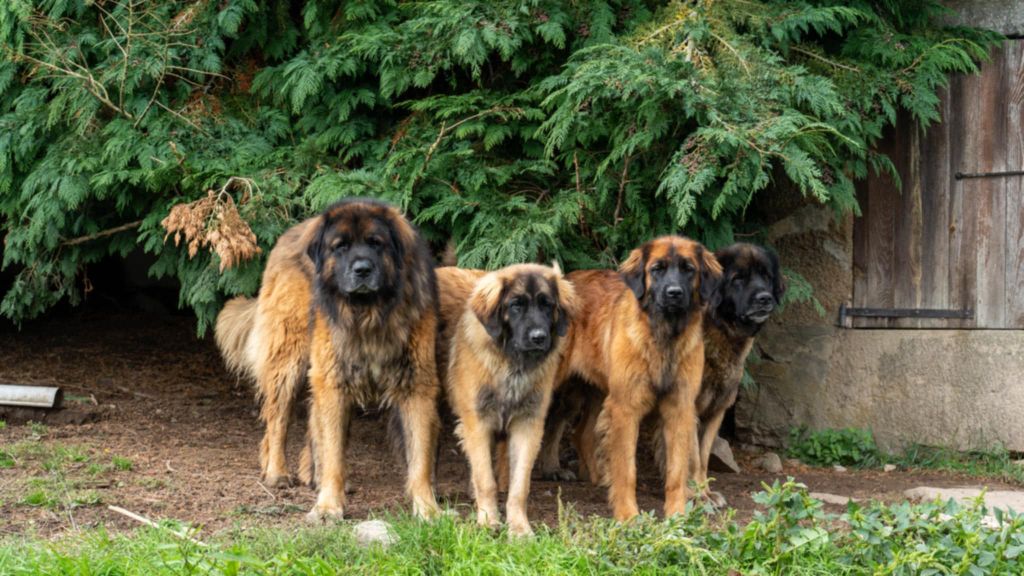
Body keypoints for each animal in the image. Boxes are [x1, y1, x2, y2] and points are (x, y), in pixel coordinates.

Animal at [214, 198, 442, 520]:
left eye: (376, 243)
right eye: (340, 246)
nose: (362, 270)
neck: (368, 313)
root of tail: (289, 234)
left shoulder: (416, 383)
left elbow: (419, 456)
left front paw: (428, 509)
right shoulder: (333, 379)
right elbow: (333, 449)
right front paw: (328, 506)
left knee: (311, 417)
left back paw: (313, 474)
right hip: (290, 360)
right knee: (277, 420)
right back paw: (277, 472)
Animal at [440, 264, 581, 532]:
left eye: (547, 305)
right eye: (516, 305)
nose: (538, 337)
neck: (511, 365)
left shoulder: (527, 424)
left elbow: (520, 485)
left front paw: (519, 527)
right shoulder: (478, 422)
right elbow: (486, 479)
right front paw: (488, 521)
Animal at [552, 235, 720, 518]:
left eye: (688, 269)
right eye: (657, 269)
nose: (674, 293)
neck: (663, 337)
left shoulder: (680, 407)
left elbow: (677, 469)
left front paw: (677, 515)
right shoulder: (626, 407)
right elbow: (626, 469)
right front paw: (628, 515)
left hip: (599, 392)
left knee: (582, 434)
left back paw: (599, 479)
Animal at [692, 241, 786, 502]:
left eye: (766, 277)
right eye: (738, 279)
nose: (765, 298)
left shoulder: (716, 409)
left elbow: (703, 455)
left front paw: (705, 492)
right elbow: (691, 457)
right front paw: (695, 496)